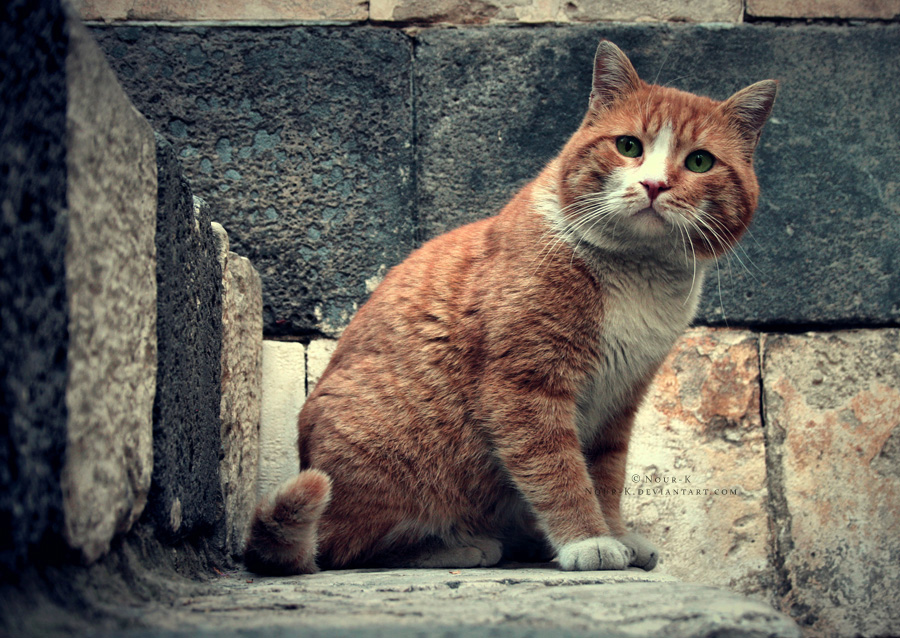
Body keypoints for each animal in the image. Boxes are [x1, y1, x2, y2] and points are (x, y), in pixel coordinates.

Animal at [244, 42, 772, 576]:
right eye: (628, 147)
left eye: (700, 161)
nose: (655, 184)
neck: (637, 275)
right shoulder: (524, 385)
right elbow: (560, 473)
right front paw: (589, 541)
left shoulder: (619, 401)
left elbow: (606, 477)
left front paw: (617, 534)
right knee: (349, 548)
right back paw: (460, 547)